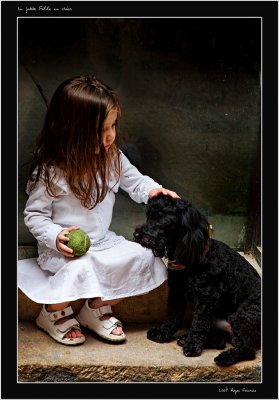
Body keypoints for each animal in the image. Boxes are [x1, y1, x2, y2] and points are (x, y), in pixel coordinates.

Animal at [135, 194, 262, 366]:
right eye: (148, 216)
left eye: (161, 220)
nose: (136, 235)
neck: (193, 261)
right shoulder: (176, 293)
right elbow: (172, 317)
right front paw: (162, 333)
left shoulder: (207, 300)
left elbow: (198, 325)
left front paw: (193, 347)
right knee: (222, 341)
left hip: (243, 315)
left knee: (247, 349)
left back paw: (223, 357)